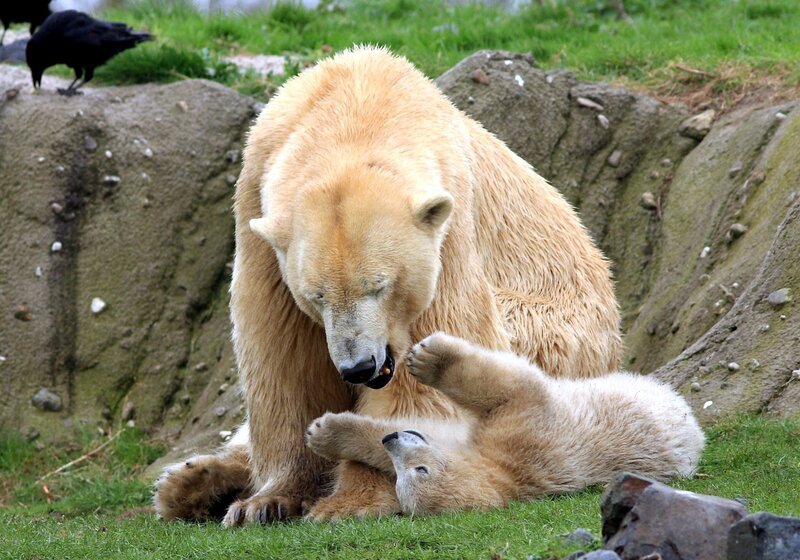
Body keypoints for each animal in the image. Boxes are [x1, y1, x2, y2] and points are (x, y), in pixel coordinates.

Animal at [153, 46, 622, 525]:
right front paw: (264, 502)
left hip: (553, 334)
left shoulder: (447, 231)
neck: (360, 103)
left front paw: (350, 499)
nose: (359, 367)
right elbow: (285, 358)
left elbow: (424, 381)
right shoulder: (257, 214)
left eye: (379, 286)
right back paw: (190, 483)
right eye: (317, 295)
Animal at [305, 332, 705, 515]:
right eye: (401, 478)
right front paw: (324, 434)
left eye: (420, 471)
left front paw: (430, 359)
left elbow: (510, 389)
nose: (393, 441)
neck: (508, 476)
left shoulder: (525, 433)